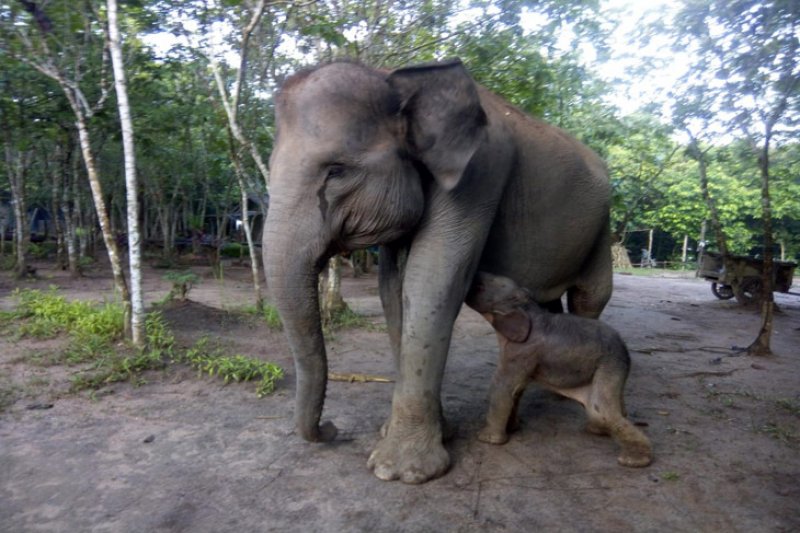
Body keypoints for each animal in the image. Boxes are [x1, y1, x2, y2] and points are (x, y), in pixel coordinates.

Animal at [264, 58, 612, 482]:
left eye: (336, 170)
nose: (331, 429)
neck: (396, 77)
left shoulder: (480, 173)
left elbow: (431, 281)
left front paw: (401, 472)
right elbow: (394, 289)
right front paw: (430, 434)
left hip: (602, 226)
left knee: (590, 296)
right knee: (549, 302)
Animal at [466, 272, 652, 468]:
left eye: (483, 285)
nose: (477, 273)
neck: (528, 308)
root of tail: (625, 348)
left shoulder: (522, 352)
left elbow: (501, 387)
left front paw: (486, 439)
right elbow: (516, 390)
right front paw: (512, 428)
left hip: (609, 364)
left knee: (601, 410)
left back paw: (633, 461)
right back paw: (599, 431)